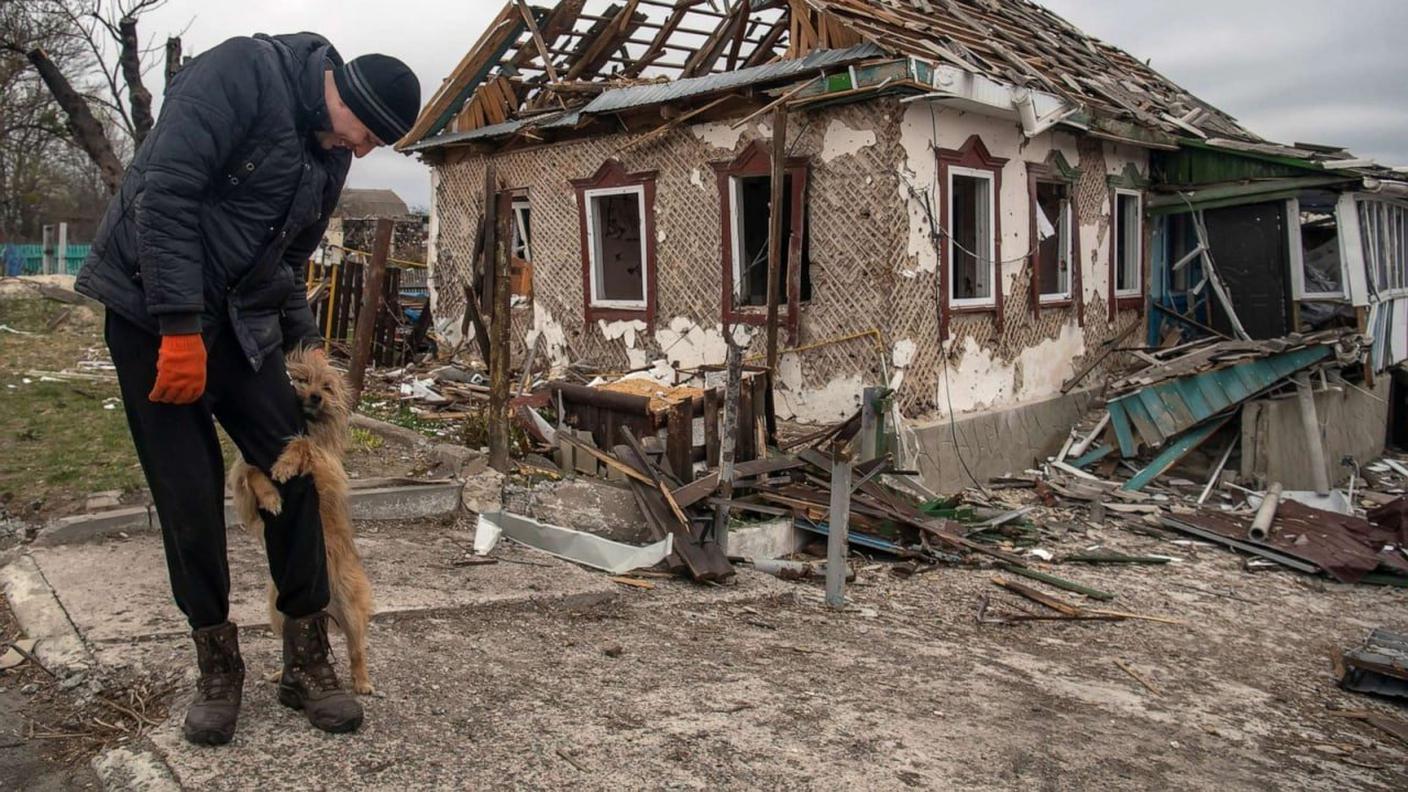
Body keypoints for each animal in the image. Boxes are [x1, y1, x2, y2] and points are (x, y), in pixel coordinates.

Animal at [229, 349, 374, 690]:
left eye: (328, 387)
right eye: (303, 379)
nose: (316, 397)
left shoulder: (326, 471)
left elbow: (303, 444)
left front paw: (285, 464)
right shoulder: (243, 484)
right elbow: (254, 473)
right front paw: (271, 495)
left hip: (351, 607)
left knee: (356, 650)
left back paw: (362, 682)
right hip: (278, 610)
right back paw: (284, 673)